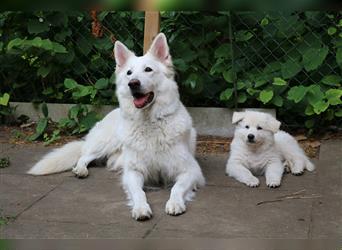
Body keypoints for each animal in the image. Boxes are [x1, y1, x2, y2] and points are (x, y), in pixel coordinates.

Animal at [28, 33, 204, 221]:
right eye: (129, 73)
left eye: (148, 69)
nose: (132, 83)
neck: (149, 122)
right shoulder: (133, 172)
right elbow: (139, 192)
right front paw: (140, 208)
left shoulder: (190, 170)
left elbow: (176, 188)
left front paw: (175, 203)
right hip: (106, 143)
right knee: (84, 156)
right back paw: (81, 170)